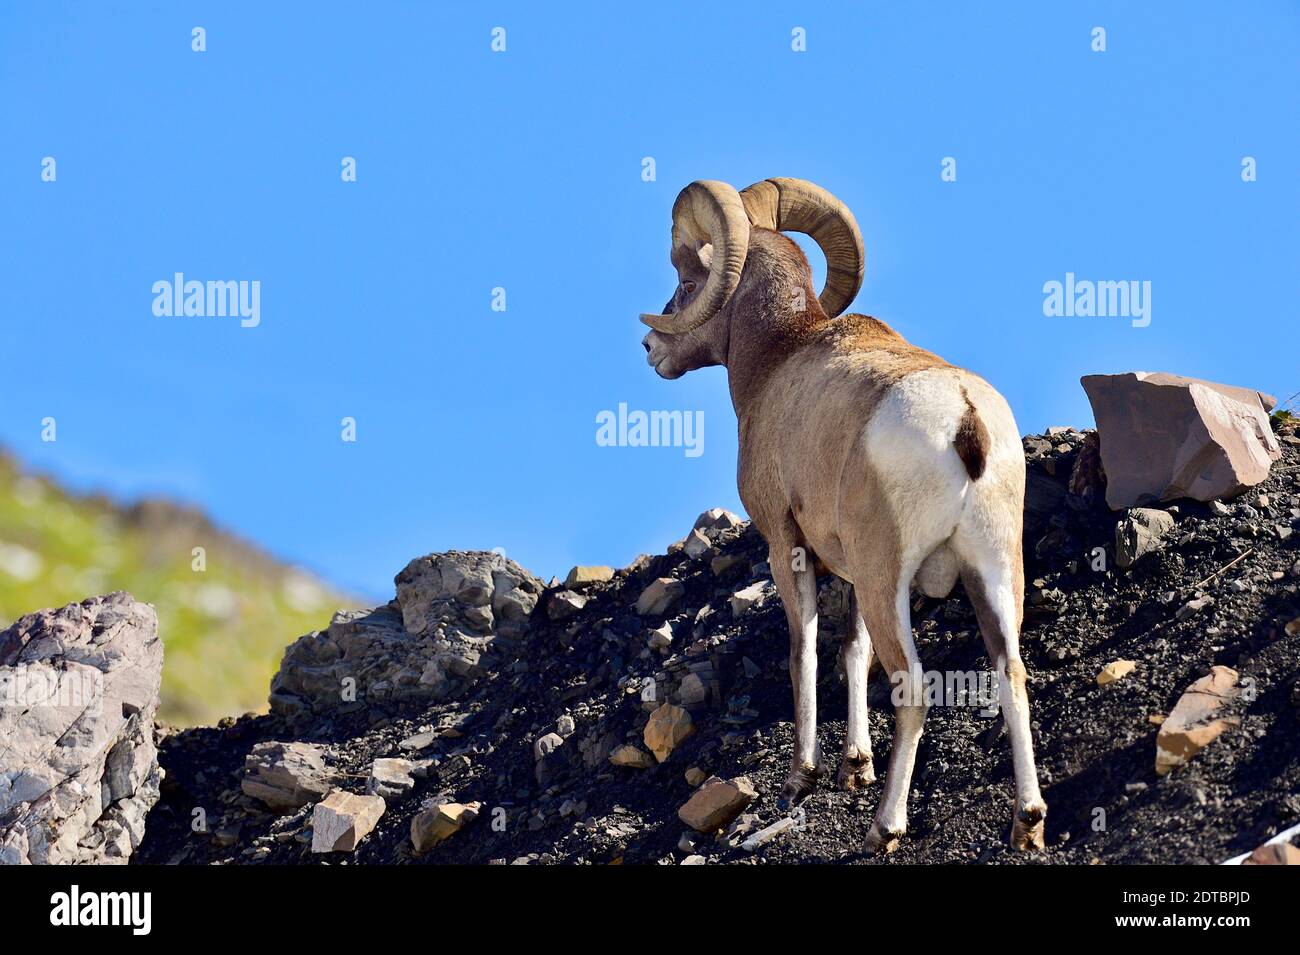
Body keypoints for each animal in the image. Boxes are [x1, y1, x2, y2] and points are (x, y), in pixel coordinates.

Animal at [639, 183, 1045, 857]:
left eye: (689, 278)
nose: (651, 349)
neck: (778, 360)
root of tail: (964, 417)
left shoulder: (787, 545)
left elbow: (803, 650)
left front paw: (803, 776)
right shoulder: (850, 571)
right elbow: (853, 653)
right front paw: (856, 766)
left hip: (891, 584)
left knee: (913, 691)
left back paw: (886, 827)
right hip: (991, 573)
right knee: (1010, 673)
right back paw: (1028, 824)